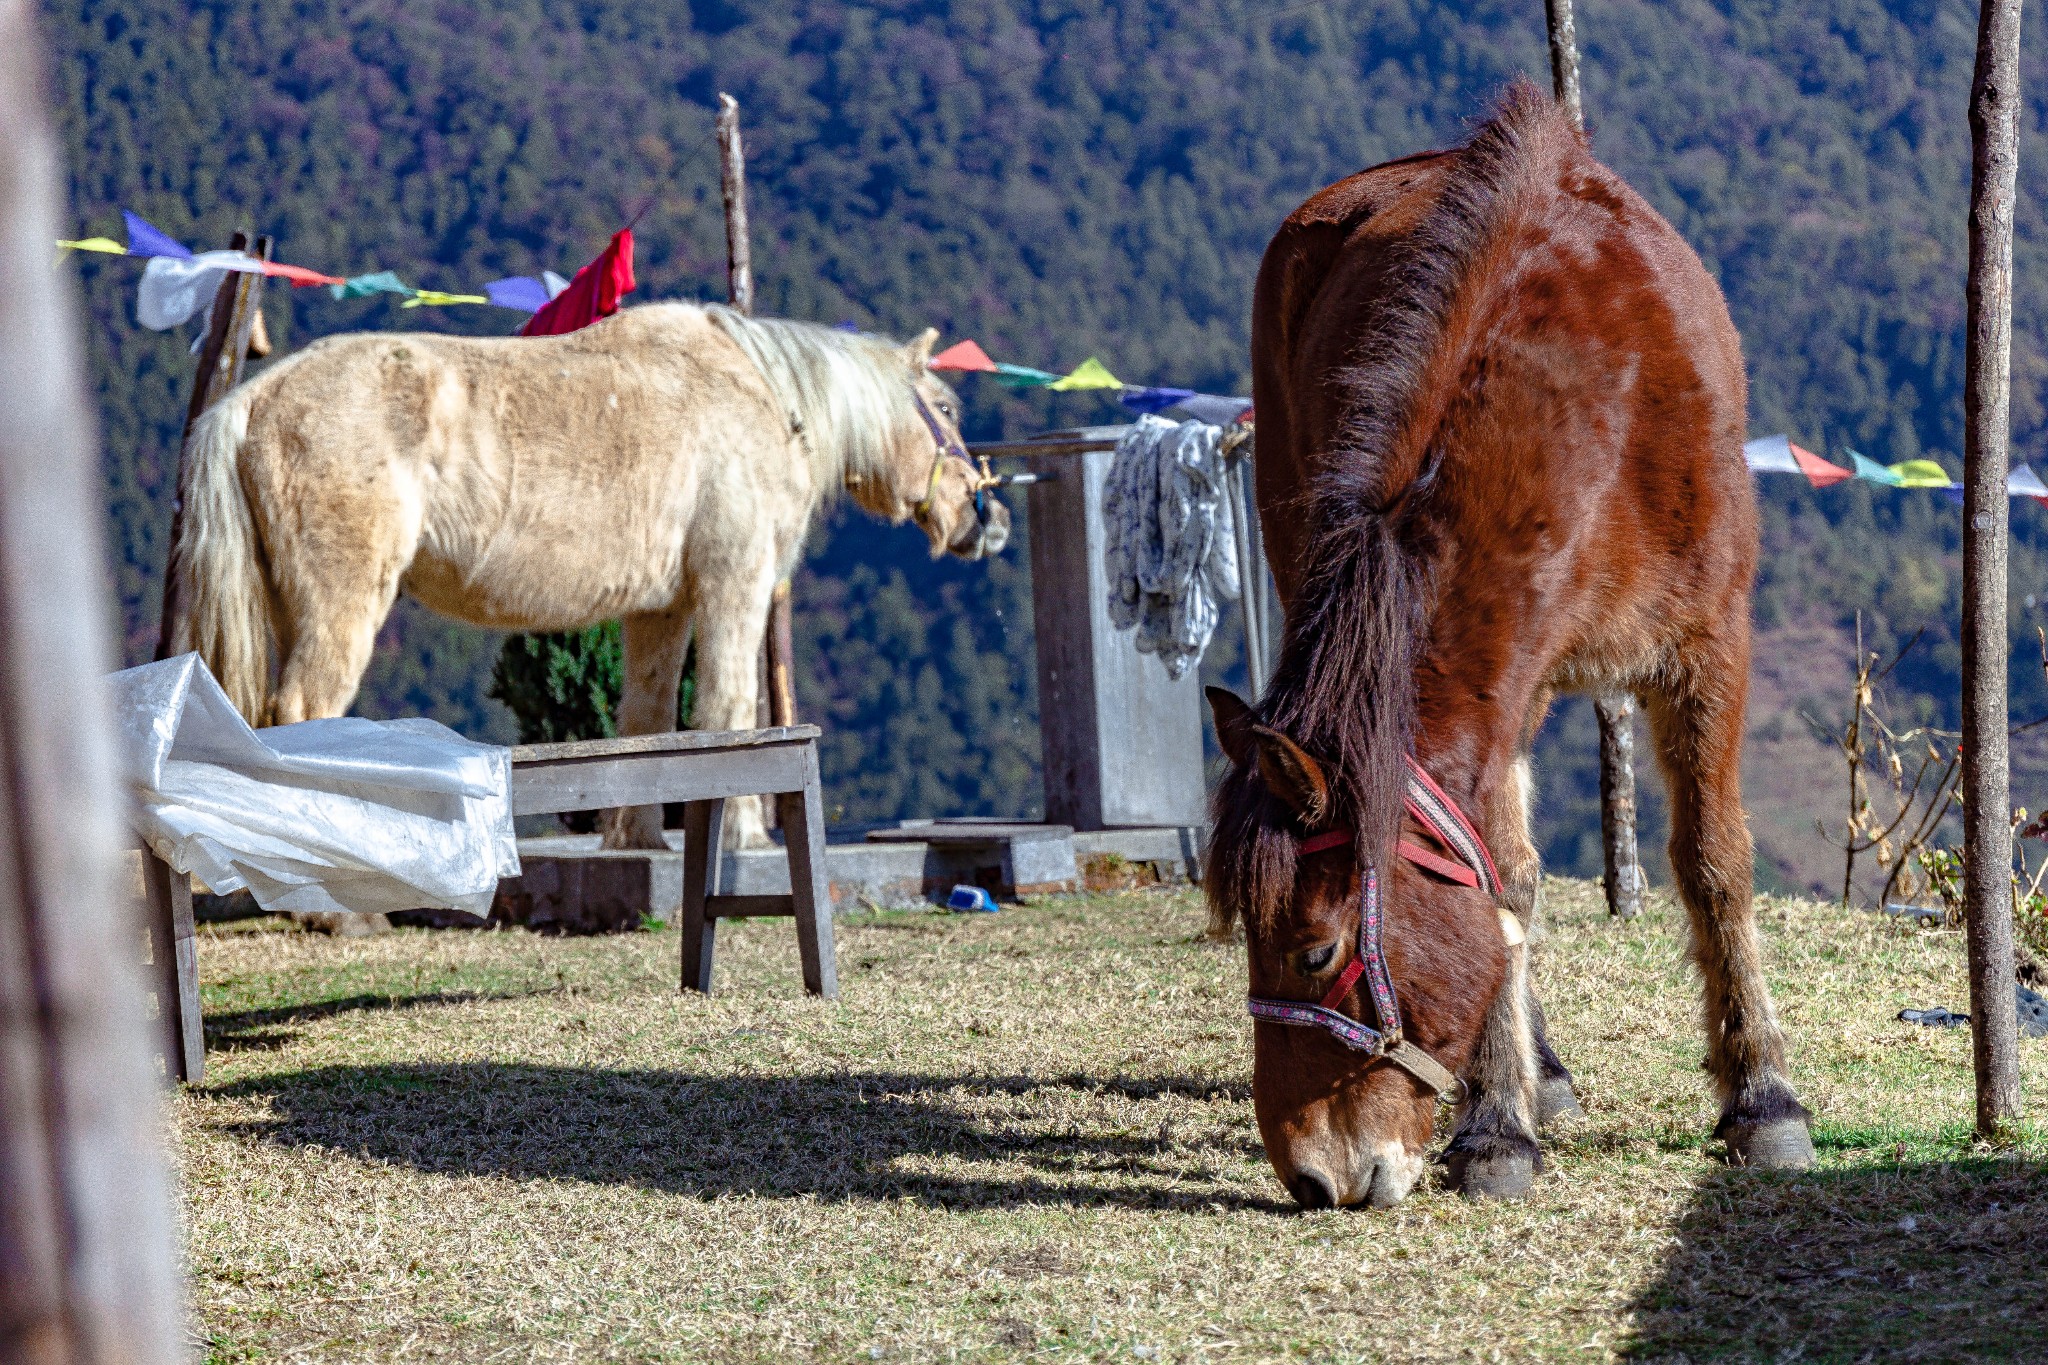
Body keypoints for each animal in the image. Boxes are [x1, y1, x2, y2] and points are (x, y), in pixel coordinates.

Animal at [172, 304, 1003, 847]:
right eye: (947, 406)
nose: (984, 516)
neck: (763, 398)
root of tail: (250, 402)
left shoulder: (663, 609)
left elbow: (649, 723)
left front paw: (637, 838)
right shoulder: (734, 582)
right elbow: (730, 710)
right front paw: (743, 834)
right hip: (341, 606)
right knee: (303, 716)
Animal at [1204, 90, 1818, 1211]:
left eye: (1314, 954)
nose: (1312, 1178)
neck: (1597, 406)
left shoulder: (1708, 645)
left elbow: (1715, 860)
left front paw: (1762, 1098)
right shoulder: (1496, 693)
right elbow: (1499, 884)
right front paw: (1497, 1122)